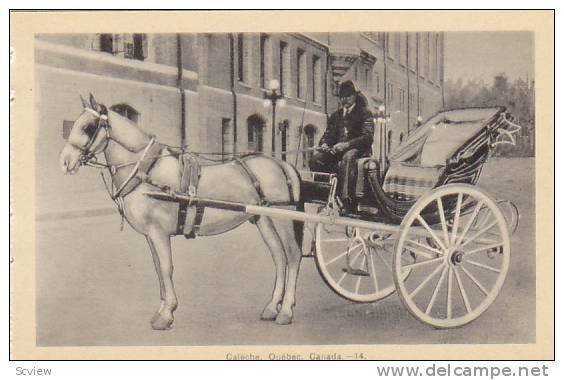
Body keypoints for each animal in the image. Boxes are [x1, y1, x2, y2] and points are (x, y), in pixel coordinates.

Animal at [59, 95, 304, 330]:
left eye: (88, 127)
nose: (65, 162)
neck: (147, 171)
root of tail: (280, 163)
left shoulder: (159, 233)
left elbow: (166, 268)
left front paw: (167, 314)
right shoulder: (150, 235)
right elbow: (158, 269)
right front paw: (161, 310)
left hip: (282, 218)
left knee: (293, 255)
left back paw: (286, 311)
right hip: (264, 220)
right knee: (279, 257)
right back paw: (272, 307)